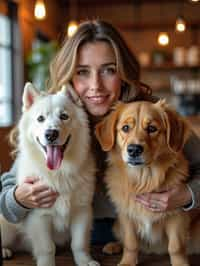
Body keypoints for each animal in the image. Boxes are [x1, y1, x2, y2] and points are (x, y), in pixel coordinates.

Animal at [0, 82, 99, 266]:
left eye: (64, 116)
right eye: (40, 119)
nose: (51, 134)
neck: (59, 172)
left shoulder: (82, 211)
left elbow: (79, 243)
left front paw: (85, 261)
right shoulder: (39, 215)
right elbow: (47, 248)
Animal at [95, 100, 197, 266]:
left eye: (152, 128)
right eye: (125, 128)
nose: (134, 150)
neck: (144, 178)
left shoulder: (177, 216)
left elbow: (175, 247)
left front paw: (180, 263)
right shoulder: (126, 216)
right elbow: (130, 243)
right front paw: (127, 262)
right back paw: (114, 245)